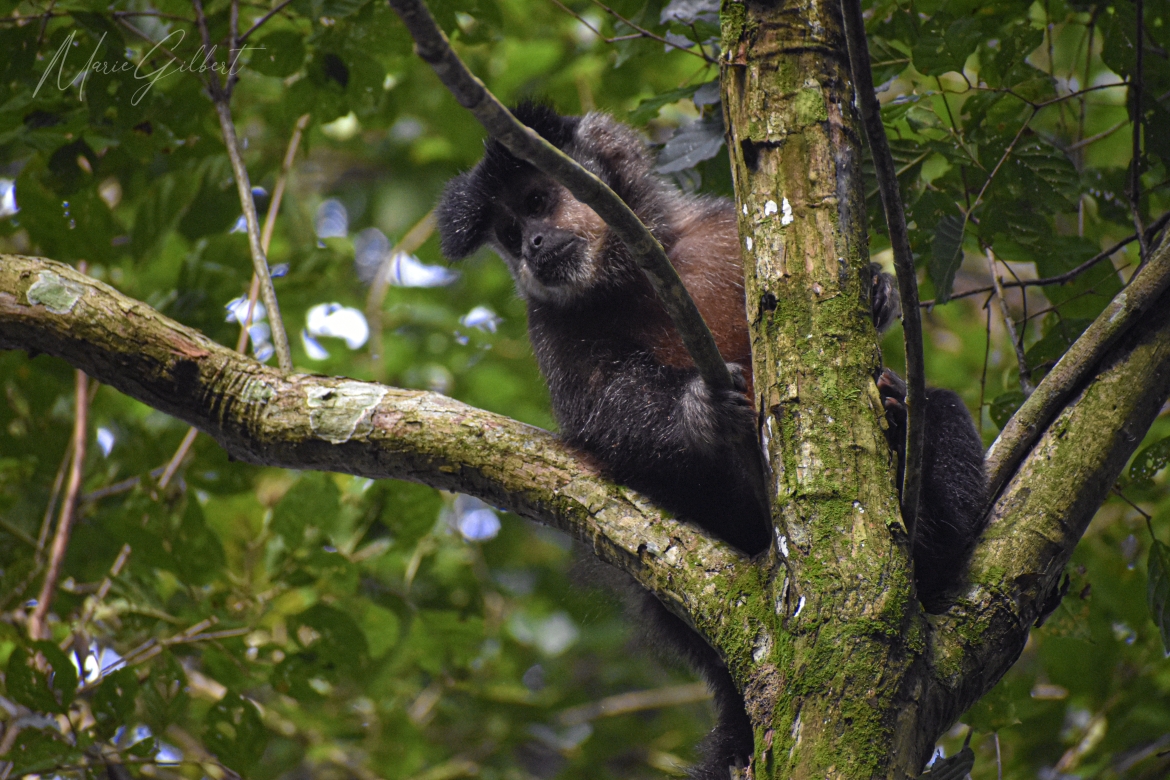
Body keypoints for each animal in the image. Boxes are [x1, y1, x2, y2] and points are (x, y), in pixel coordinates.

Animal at [435, 103, 982, 780]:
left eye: (537, 202)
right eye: (509, 235)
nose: (532, 246)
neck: (632, 268)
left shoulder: (718, 227)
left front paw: (879, 290)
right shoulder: (550, 325)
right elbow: (604, 424)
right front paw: (704, 411)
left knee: (941, 408)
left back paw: (920, 489)